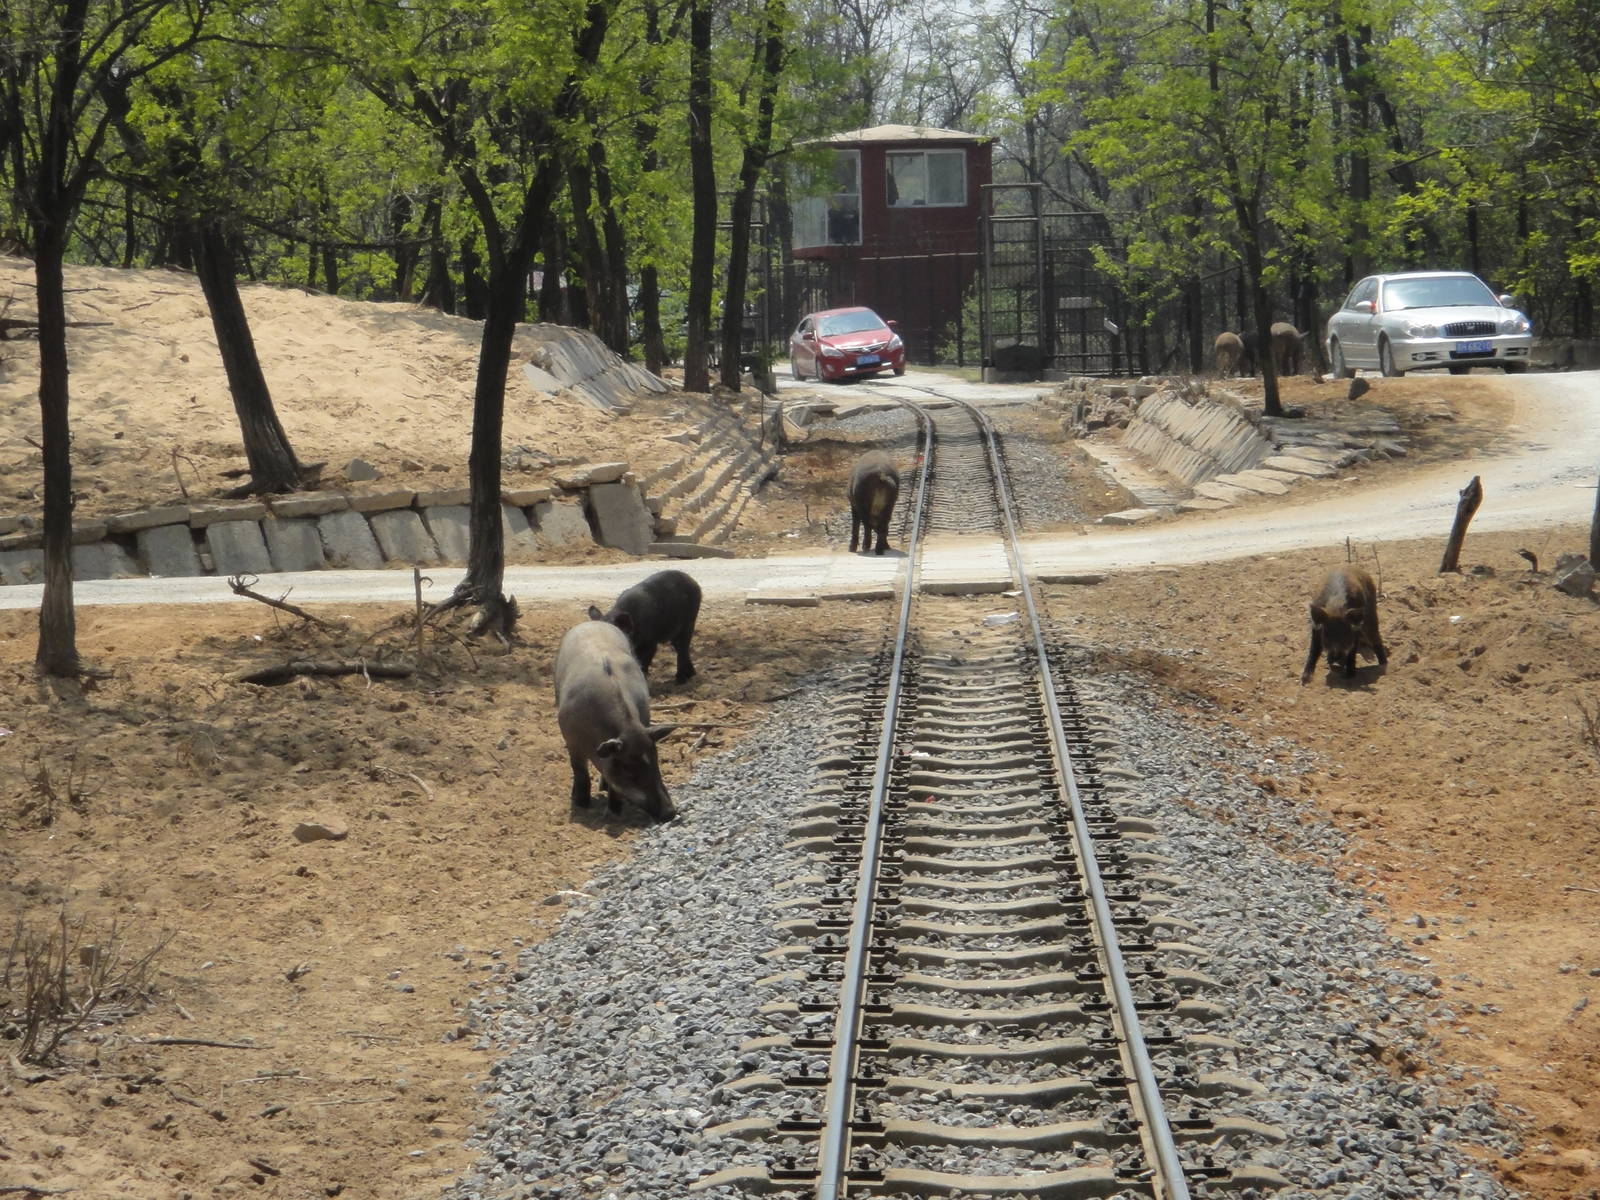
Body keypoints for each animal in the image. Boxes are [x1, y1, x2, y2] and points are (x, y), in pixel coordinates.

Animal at [554, 619, 677, 820]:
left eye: (656, 762)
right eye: (629, 770)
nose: (670, 813)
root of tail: (593, 622)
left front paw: (613, 813)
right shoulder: (571, 741)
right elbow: (580, 771)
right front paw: (581, 804)